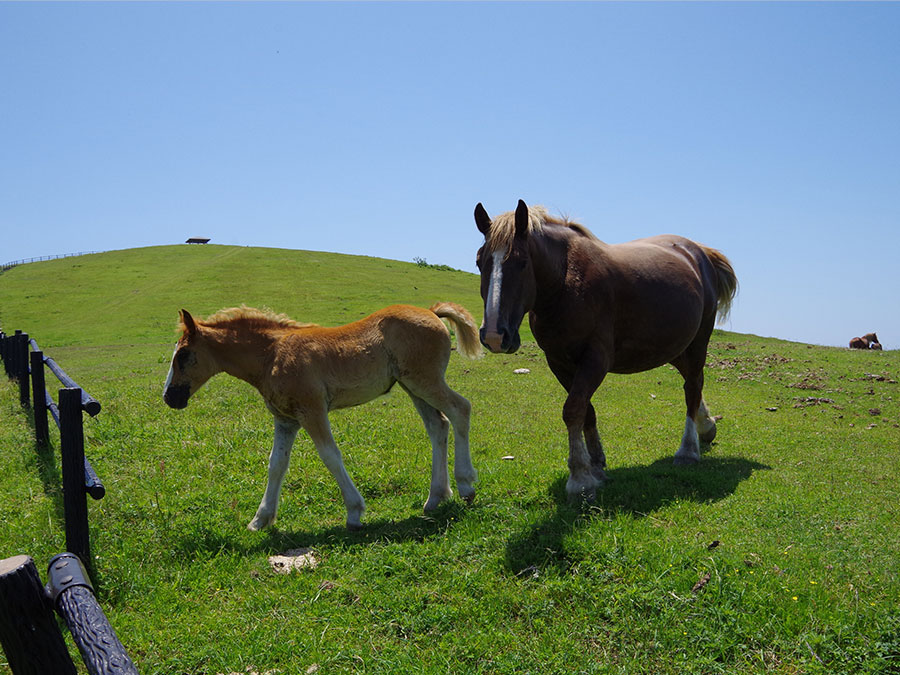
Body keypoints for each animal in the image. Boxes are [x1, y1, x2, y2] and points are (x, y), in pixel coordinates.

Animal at [162, 304, 486, 532]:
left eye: (184, 354)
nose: (169, 398)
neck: (271, 354)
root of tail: (432, 312)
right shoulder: (285, 419)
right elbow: (276, 464)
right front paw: (260, 519)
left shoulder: (312, 410)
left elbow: (330, 455)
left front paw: (354, 512)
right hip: (413, 386)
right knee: (438, 425)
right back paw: (436, 498)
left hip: (424, 380)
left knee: (461, 409)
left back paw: (466, 486)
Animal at [474, 201, 736, 502]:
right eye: (479, 262)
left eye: (522, 262)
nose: (494, 335)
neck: (566, 281)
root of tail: (699, 252)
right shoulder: (559, 362)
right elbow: (586, 410)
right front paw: (596, 465)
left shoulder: (595, 359)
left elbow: (573, 409)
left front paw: (580, 479)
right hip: (674, 347)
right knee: (693, 382)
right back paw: (707, 427)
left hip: (697, 343)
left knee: (692, 388)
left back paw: (688, 451)